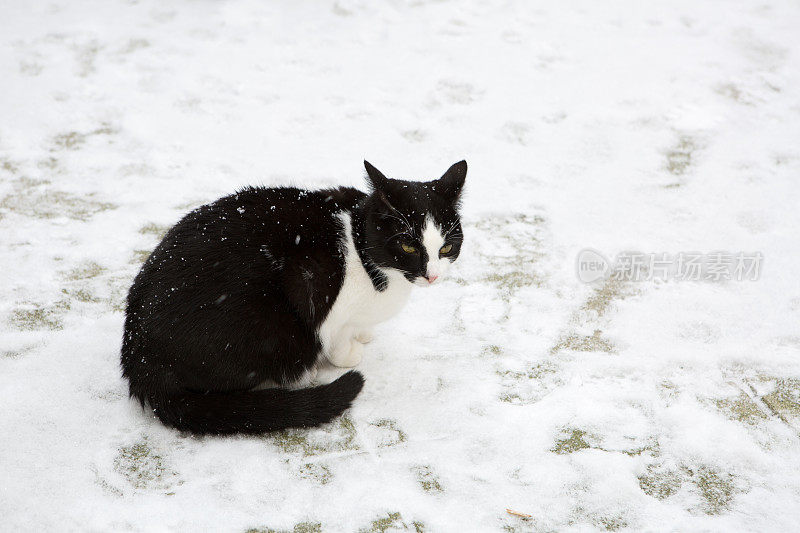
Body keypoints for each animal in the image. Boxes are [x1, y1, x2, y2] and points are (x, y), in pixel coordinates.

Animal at [121, 160, 466, 434]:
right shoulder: (316, 289)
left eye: (446, 247)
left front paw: (364, 334)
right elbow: (338, 338)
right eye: (408, 246)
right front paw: (349, 352)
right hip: (274, 328)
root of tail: (141, 360)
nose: (432, 275)